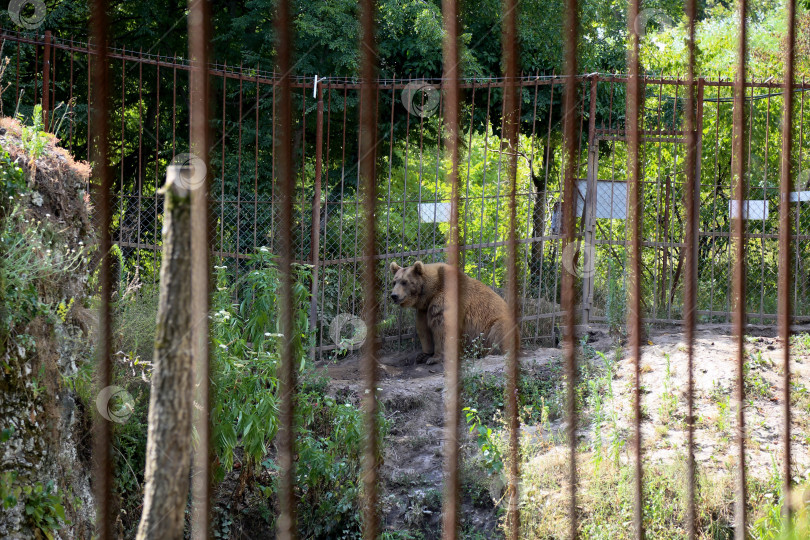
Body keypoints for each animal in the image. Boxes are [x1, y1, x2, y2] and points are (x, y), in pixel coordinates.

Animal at [388, 260, 516, 364]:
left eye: (405, 282)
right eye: (394, 282)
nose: (394, 296)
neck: (430, 293)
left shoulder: (444, 300)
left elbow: (442, 329)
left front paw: (434, 358)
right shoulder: (424, 309)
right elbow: (423, 328)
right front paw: (423, 355)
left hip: (494, 324)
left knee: (499, 331)